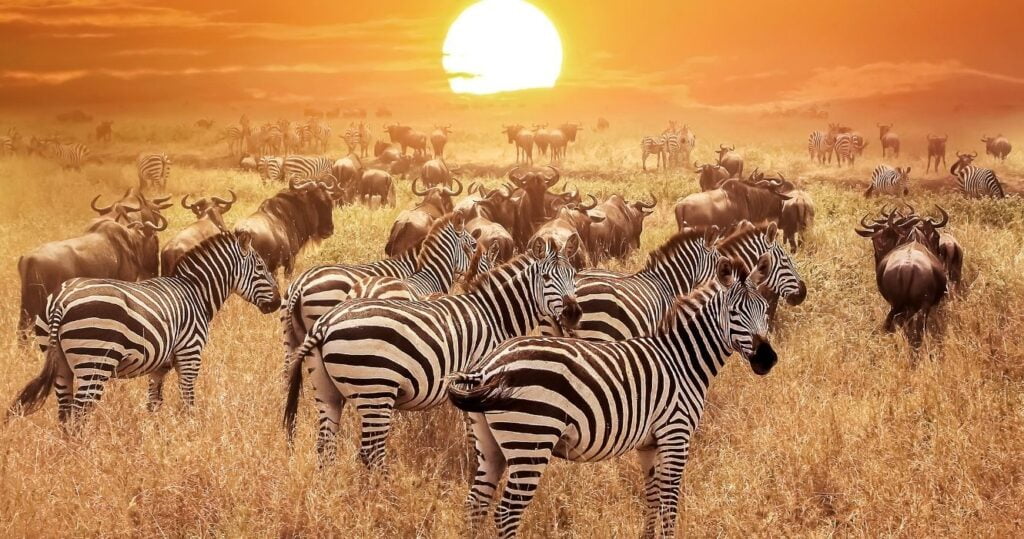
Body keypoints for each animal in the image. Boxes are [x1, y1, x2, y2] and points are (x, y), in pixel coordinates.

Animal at [7, 232, 281, 424]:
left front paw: (156, 438)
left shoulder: (159, 366)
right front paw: (190, 434)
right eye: (260, 268)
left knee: (65, 414)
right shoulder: (190, 355)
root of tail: (62, 300)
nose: (278, 303)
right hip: (94, 362)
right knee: (79, 414)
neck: (195, 293)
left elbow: (154, 404)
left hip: (60, 363)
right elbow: (187, 401)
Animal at [282, 237, 580, 468]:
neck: (493, 314)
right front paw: (473, 462)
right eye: (546, 278)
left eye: (574, 276)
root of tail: (325, 324)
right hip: (375, 388)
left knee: (325, 443)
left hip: (327, 389)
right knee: (370, 452)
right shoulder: (476, 381)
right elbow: (473, 432)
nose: (574, 313)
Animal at [447, 257, 776, 538]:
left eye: (764, 309)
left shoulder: (648, 443)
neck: (682, 359)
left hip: (490, 445)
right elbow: (670, 503)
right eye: (734, 313)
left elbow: (652, 497)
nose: (767, 359)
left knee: (475, 504)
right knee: (505, 513)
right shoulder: (676, 434)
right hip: (531, 438)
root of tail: (488, 366)